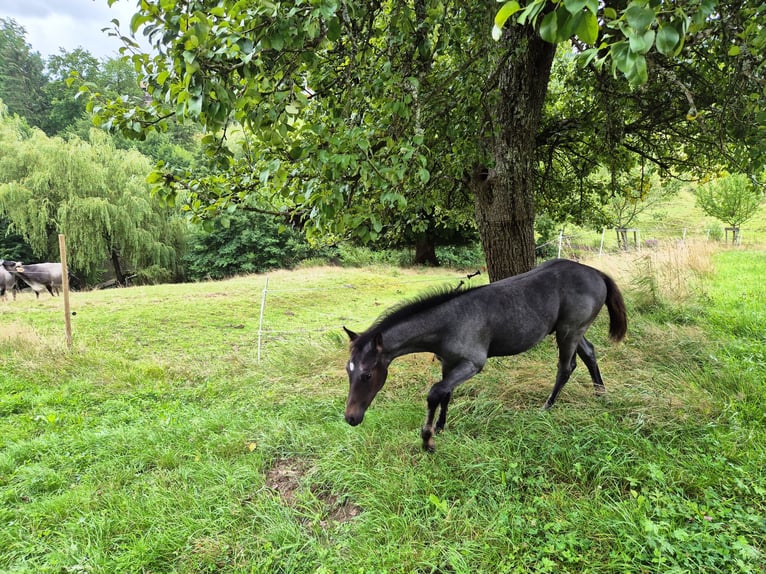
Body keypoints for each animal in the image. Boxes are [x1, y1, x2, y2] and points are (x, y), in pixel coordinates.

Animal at [343, 258, 627, 451]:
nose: (351, 418)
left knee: (566, 367)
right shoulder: (449, 363)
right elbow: (446, 393)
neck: (449, 322)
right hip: (572, 331)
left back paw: (547, 407)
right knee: (589, 354)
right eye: (348, 371)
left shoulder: (472, 363)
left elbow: (435, 392)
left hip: (569, 331)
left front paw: (427, 439)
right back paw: (601, 395)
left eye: (367, 375)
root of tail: (596, 273)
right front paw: (441, 427)